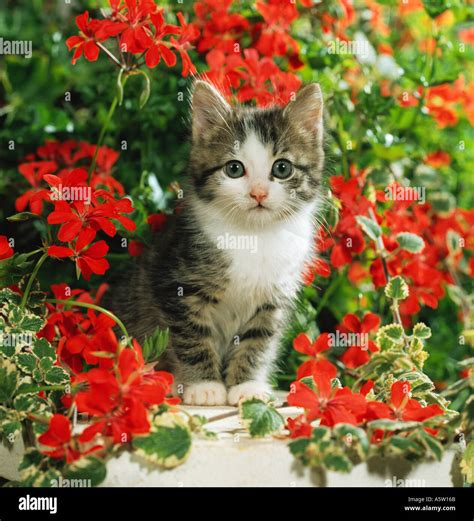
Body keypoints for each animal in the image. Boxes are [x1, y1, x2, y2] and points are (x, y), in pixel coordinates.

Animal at [113, 80, 324, 406]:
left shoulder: (273, 297)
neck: (254, 236)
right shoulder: (177, 284)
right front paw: (204, 386)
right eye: (234, 169)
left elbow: (258, 340)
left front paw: (246, 385)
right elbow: (191, 335)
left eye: (282, 168)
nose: (258, 193)